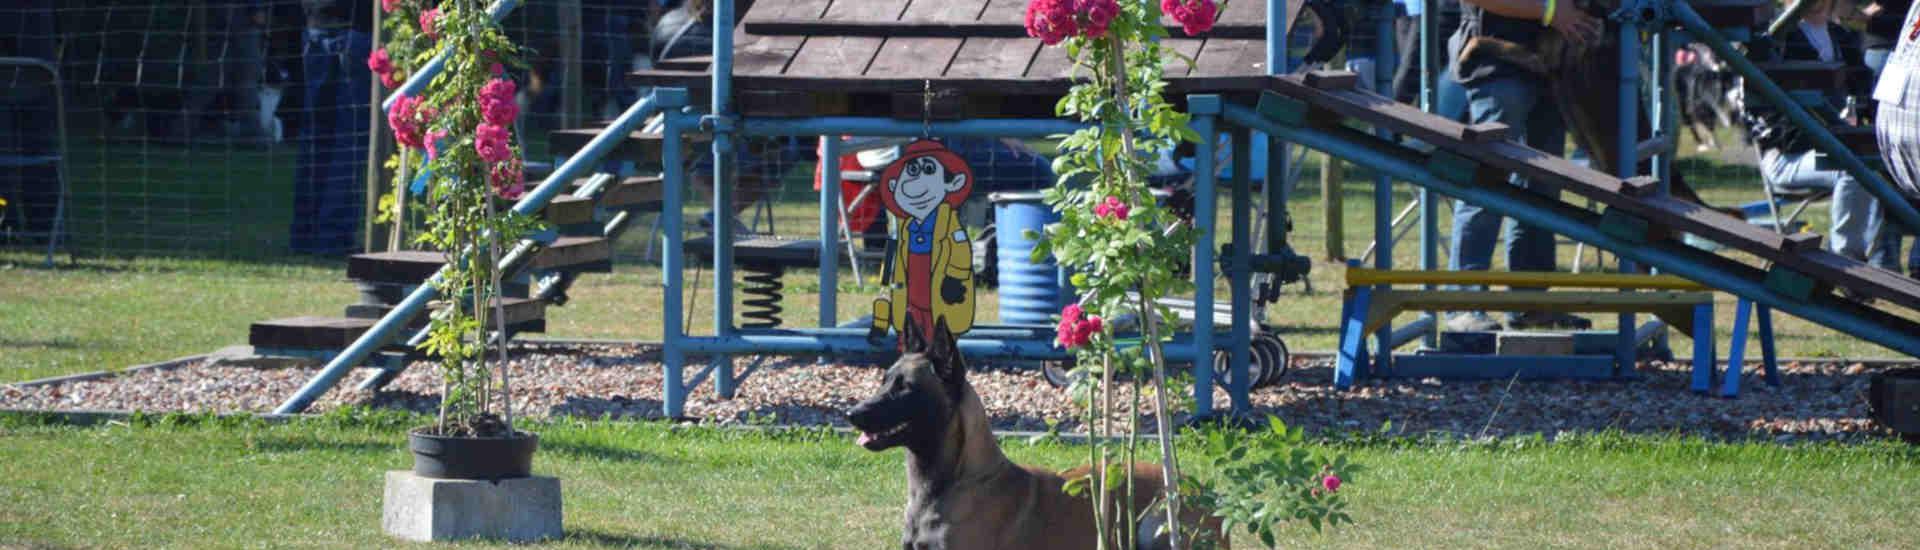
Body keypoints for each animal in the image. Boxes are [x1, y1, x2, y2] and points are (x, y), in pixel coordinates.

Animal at [848, 317, 1221, 550]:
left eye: (905, 388)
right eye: (884, 380)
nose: (852, 414)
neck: (953, 482)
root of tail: (1203, 492)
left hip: (1157, 526)